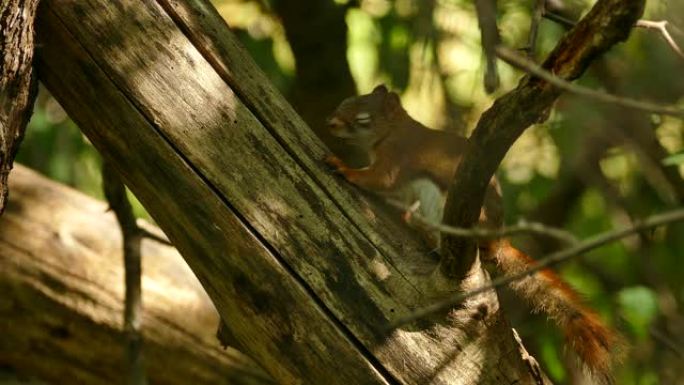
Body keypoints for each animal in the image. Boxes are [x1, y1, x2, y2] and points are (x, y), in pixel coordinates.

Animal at [326, 84, 620, 380]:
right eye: (346, 101)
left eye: (364, 119)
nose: (331, 123)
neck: (392, 130)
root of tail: (498, 241)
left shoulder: (396, 158)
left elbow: (378, 180)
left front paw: (344, 168)